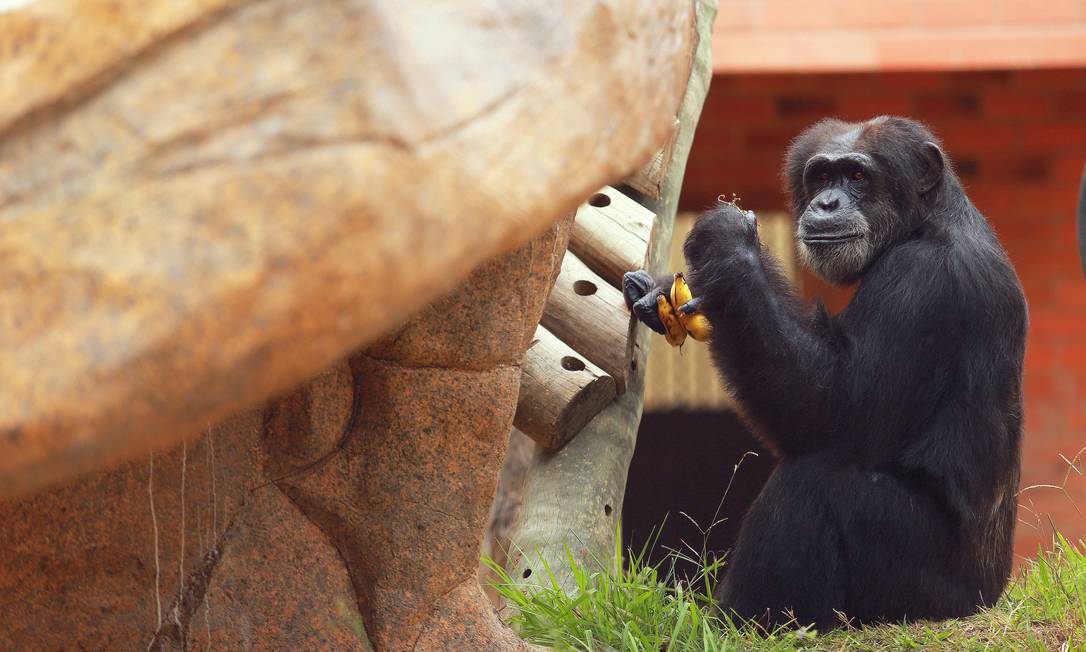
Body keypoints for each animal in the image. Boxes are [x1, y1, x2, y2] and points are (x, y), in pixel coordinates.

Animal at [629, 117, 1025, 630]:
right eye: (820, 177)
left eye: (856, 176)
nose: (827, 202)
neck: (919, 225)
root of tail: (991, 598)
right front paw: (660, 290)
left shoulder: (921, 283)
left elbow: (837, 412)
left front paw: (728, 245)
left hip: (926, 597)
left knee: (814, 480)